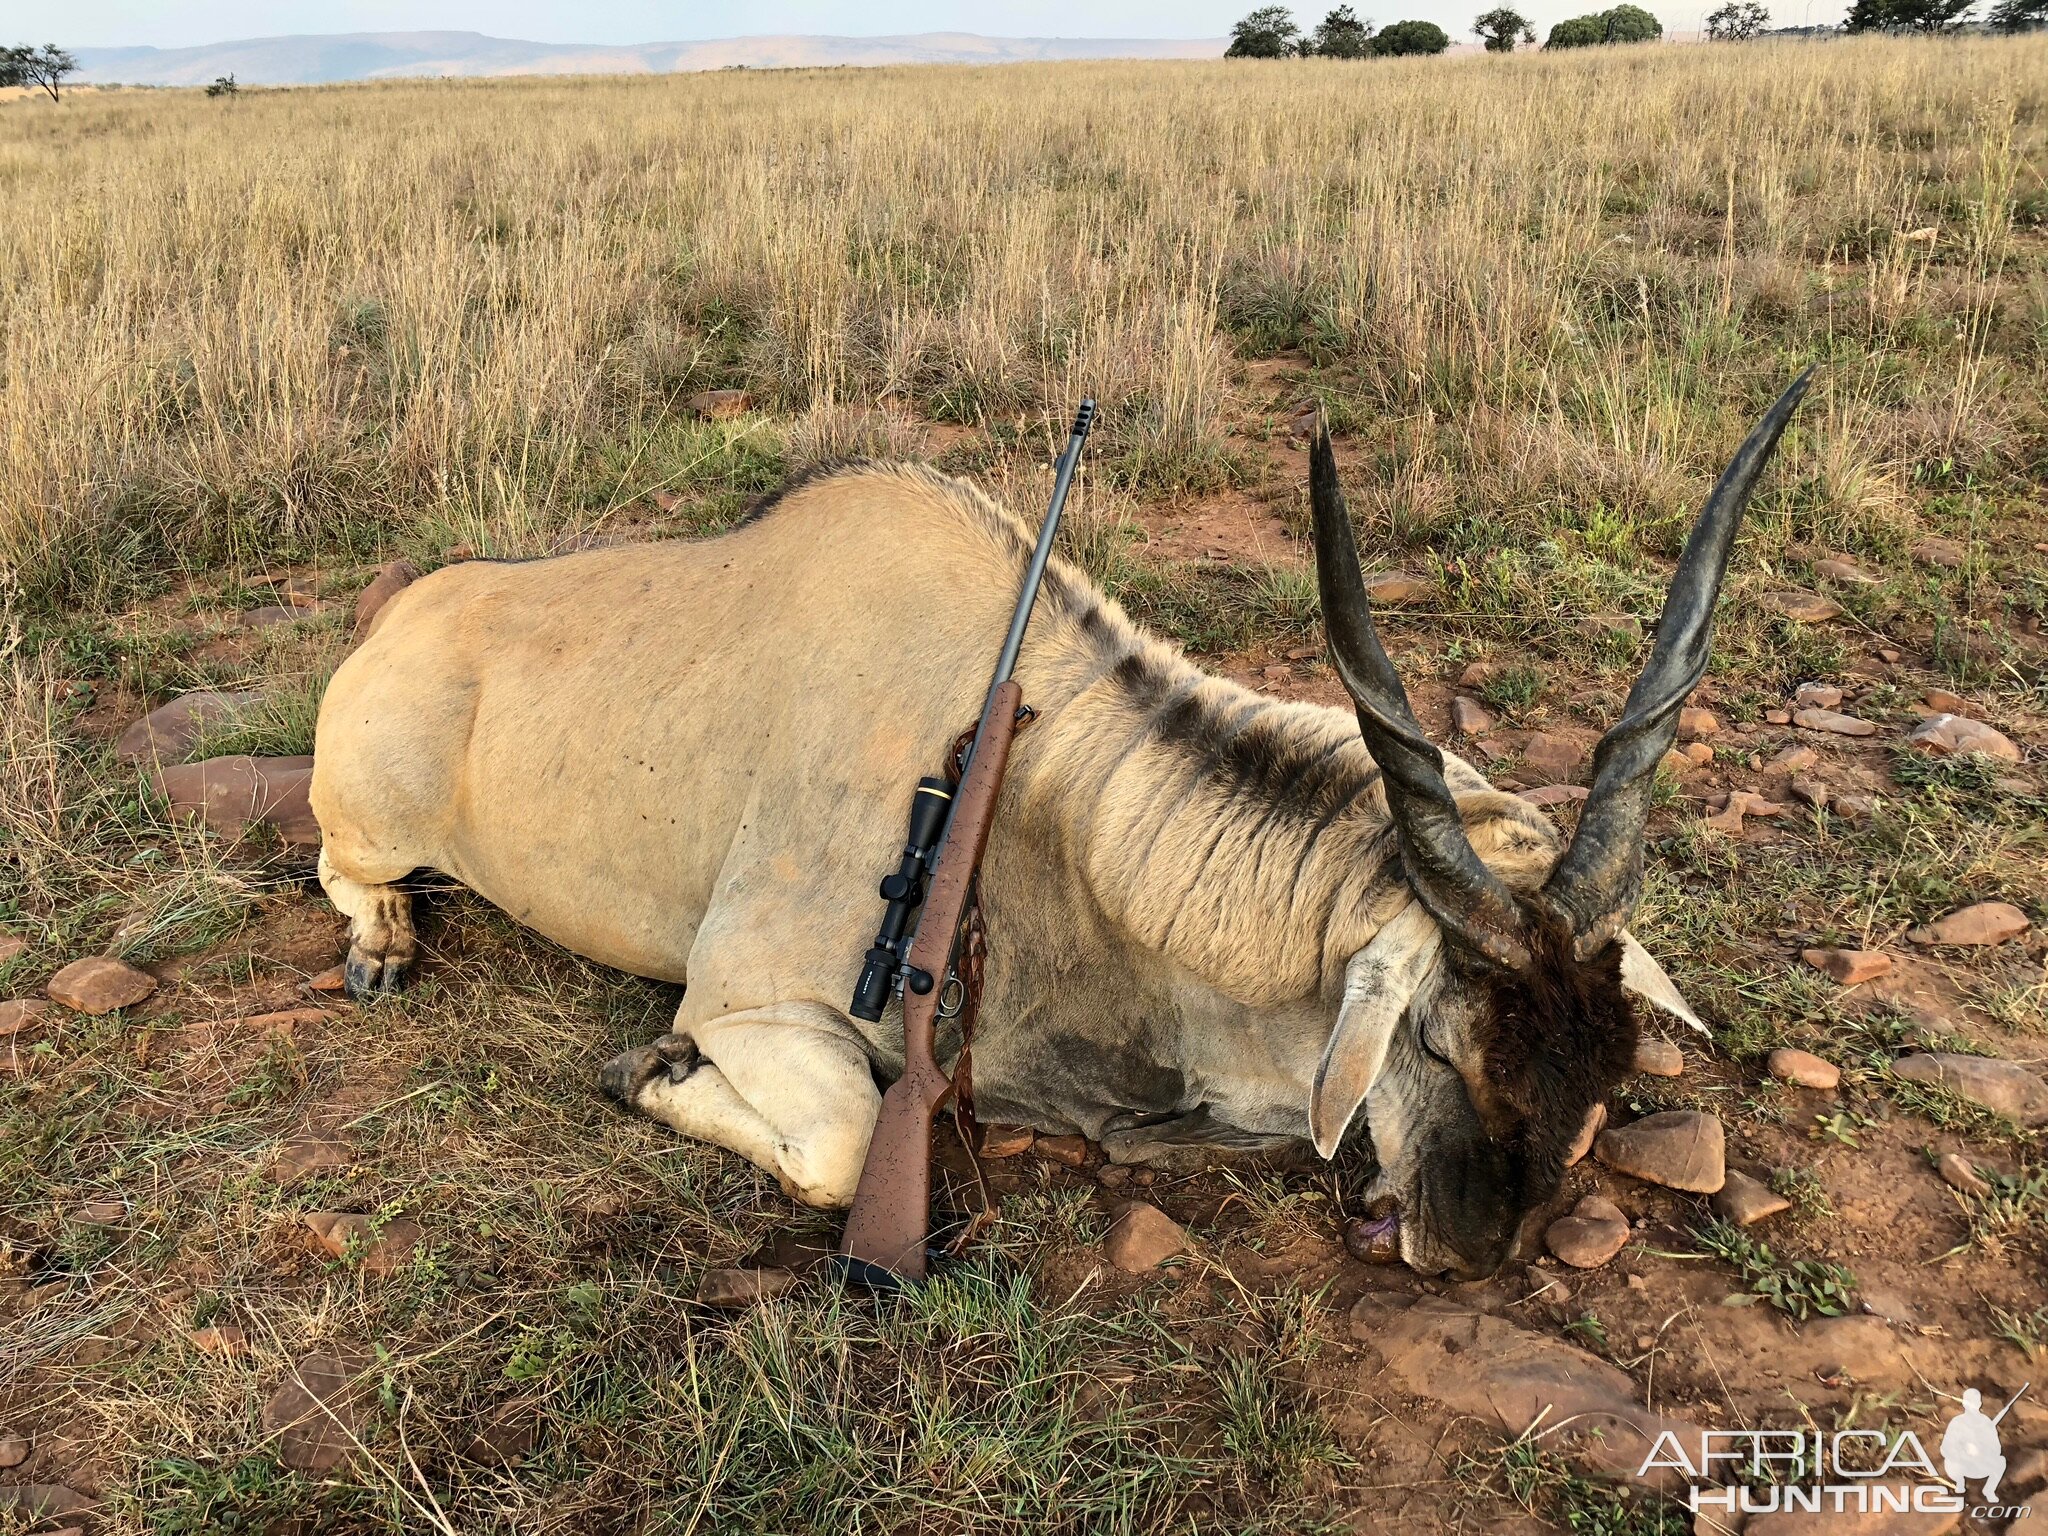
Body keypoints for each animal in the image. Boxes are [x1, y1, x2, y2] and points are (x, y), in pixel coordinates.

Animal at [307, 370, 1810, 1277]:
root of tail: (407, 612)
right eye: (1438, 1038)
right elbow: (840, 1147)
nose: (1474, 1248)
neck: (1045, 784)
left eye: (1607, 1059)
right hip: (367, 820)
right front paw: (649, 1068)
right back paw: (384, 947)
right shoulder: (749, 1002)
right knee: (342, 865)